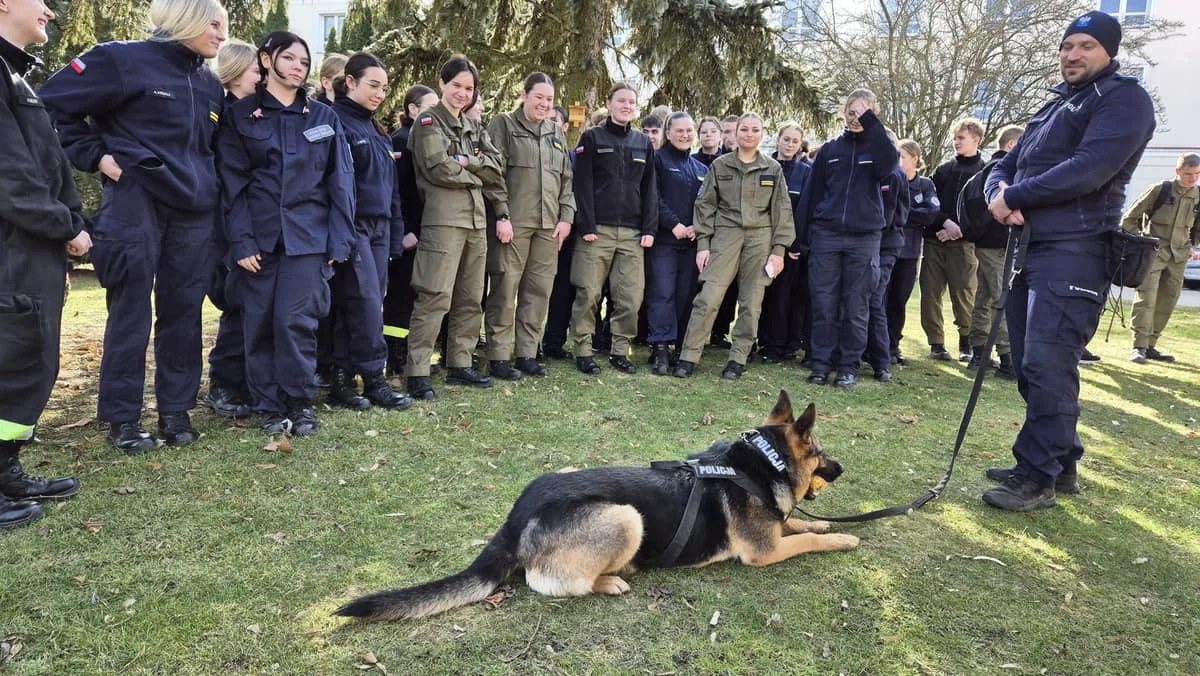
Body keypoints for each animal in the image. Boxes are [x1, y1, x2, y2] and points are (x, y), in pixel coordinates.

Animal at [333, 391, 859, 624]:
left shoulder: (771, 531)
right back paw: (611, 580)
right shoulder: (762, 552)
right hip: (625, 516)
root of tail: (517, 518)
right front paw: (843, 535)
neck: (760, 463)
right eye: (821, 450)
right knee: (548, 581)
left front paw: (823, 523)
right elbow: (805, 538)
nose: (841, 468)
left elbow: (796, 527)